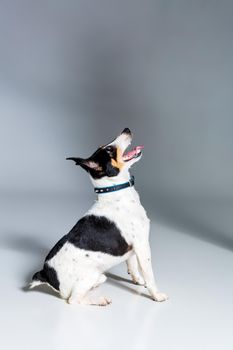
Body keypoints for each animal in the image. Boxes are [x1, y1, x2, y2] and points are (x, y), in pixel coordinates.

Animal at [31, 129, 168, 306]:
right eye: (109, 150)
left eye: (106, 146)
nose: (126, 129)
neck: (115, 191)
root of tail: (45, 274)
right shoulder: (142, 244)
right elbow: (149, 274)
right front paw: (156, 295)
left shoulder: (132, 249)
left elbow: (132, 266)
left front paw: (137, 280)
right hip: (86, 277)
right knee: (74, 300)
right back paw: (100, 300)